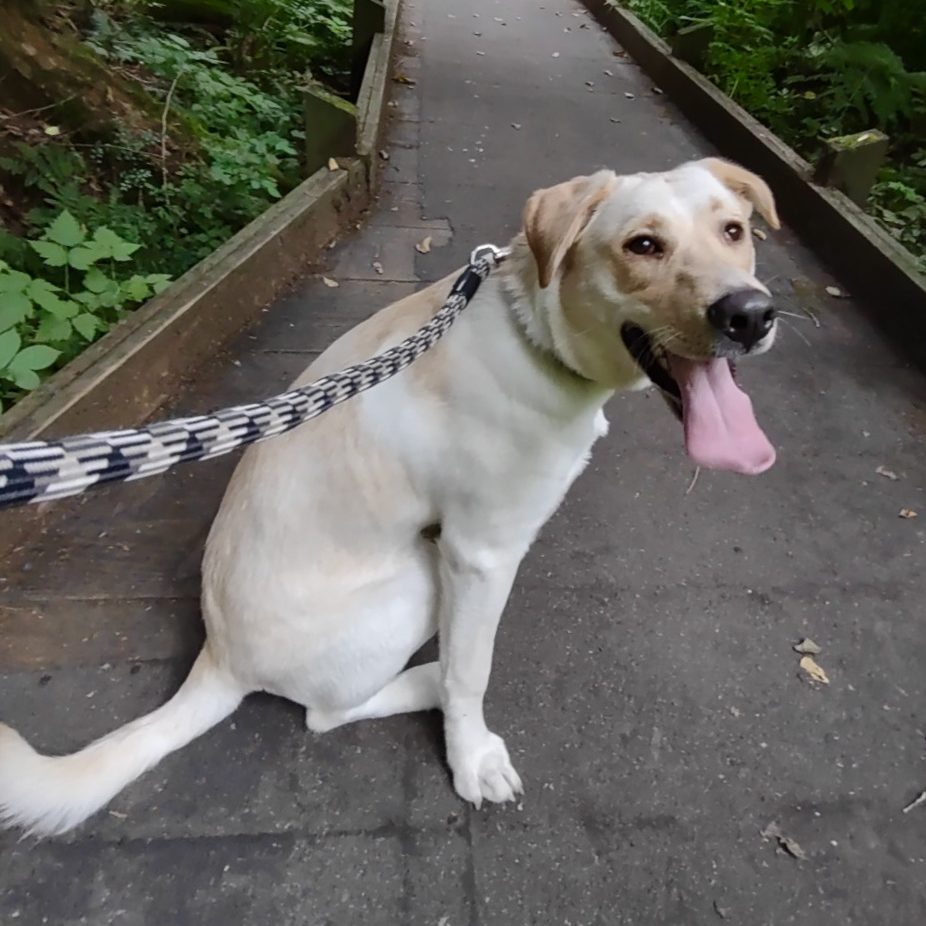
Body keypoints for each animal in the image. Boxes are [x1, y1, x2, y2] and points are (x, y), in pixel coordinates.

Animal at [0, 156, 784, 836]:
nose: (750, 315)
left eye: (734, 231)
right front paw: (471, 757)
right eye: (642, 245)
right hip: (416, 581)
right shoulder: (480, 553)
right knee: (330, 713)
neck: (536, 337)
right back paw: (426, 680)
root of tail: (218, 657)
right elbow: (472, 671)